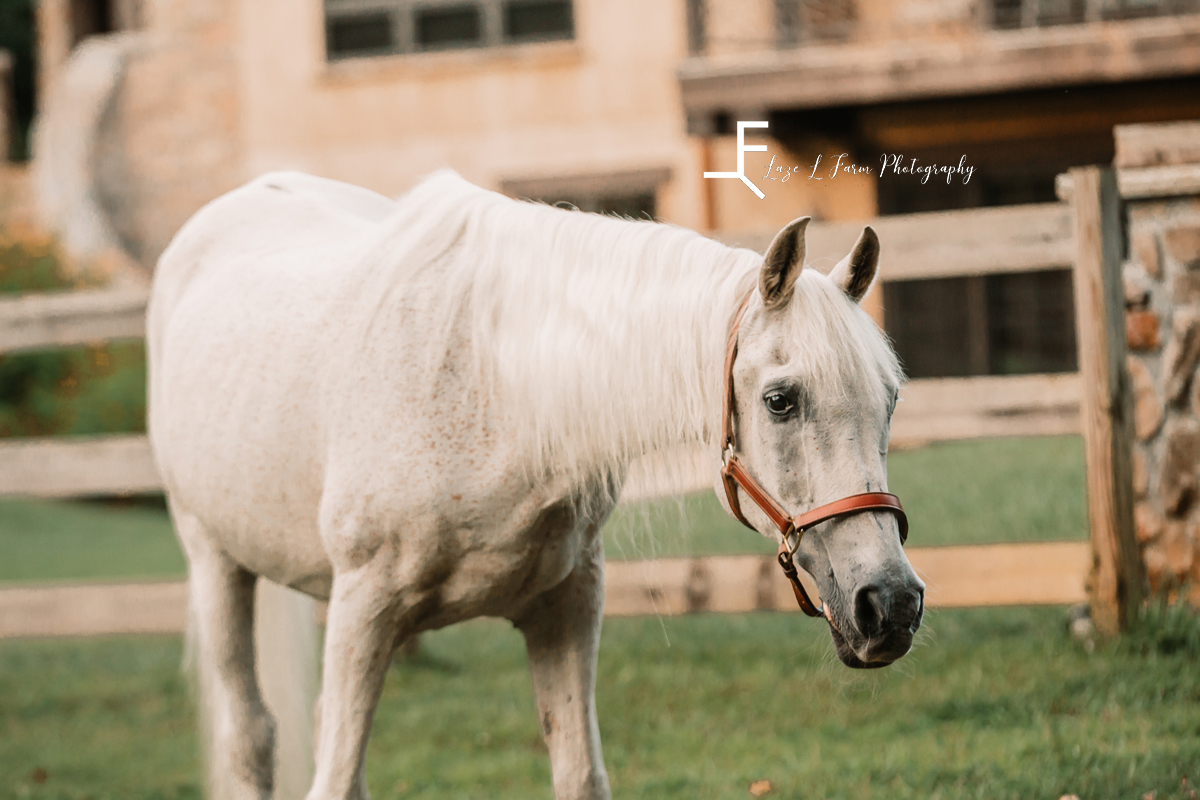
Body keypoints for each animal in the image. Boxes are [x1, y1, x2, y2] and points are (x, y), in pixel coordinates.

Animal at [145, 170, 921, 800]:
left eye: (890, 401)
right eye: (781, 400)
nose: (891, 604)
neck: (495, 390)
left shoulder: (564, 607)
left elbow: (578, 775)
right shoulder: (363, 609)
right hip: (215, 563)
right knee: (251, 738)